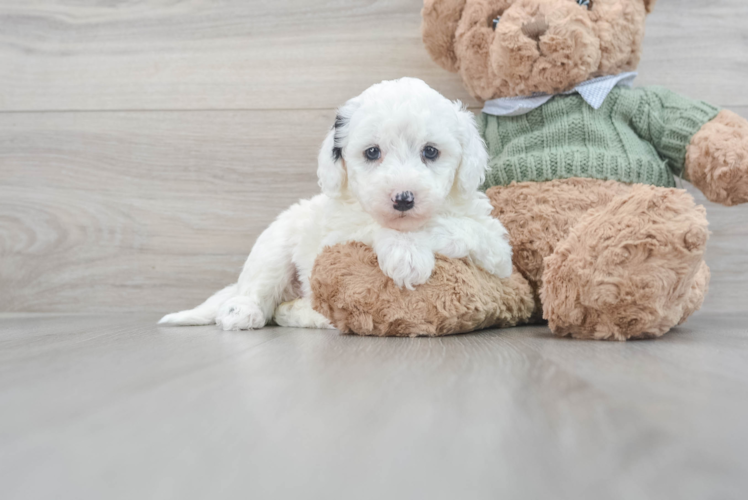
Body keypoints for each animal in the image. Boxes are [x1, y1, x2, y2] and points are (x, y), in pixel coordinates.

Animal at [160, 78, 512, 330]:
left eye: (430, 151)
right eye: (372, 152)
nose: (403, 199)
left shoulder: (496, 248)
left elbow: (455, 226)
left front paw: (410, 249)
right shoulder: (337, 236)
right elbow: (370, 224)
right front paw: (405, 254)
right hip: (273, 248)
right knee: (258, 290)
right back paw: (241, 312)